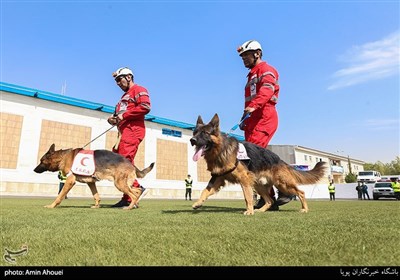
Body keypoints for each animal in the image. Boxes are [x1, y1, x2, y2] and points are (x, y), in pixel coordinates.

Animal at [191, 113, 328, 214]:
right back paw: (261, 210)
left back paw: (304, 209)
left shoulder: (244, 179)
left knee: (301, 193)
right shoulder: (217, 178)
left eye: (205, 133)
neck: (220, 150)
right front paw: (198, 202)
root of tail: (280, 160)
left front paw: (249, 211)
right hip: (259, 186)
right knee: (270, 200)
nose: (192, 140)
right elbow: (205, 191)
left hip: (282, 183)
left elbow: (247, 196)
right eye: (195, 133)